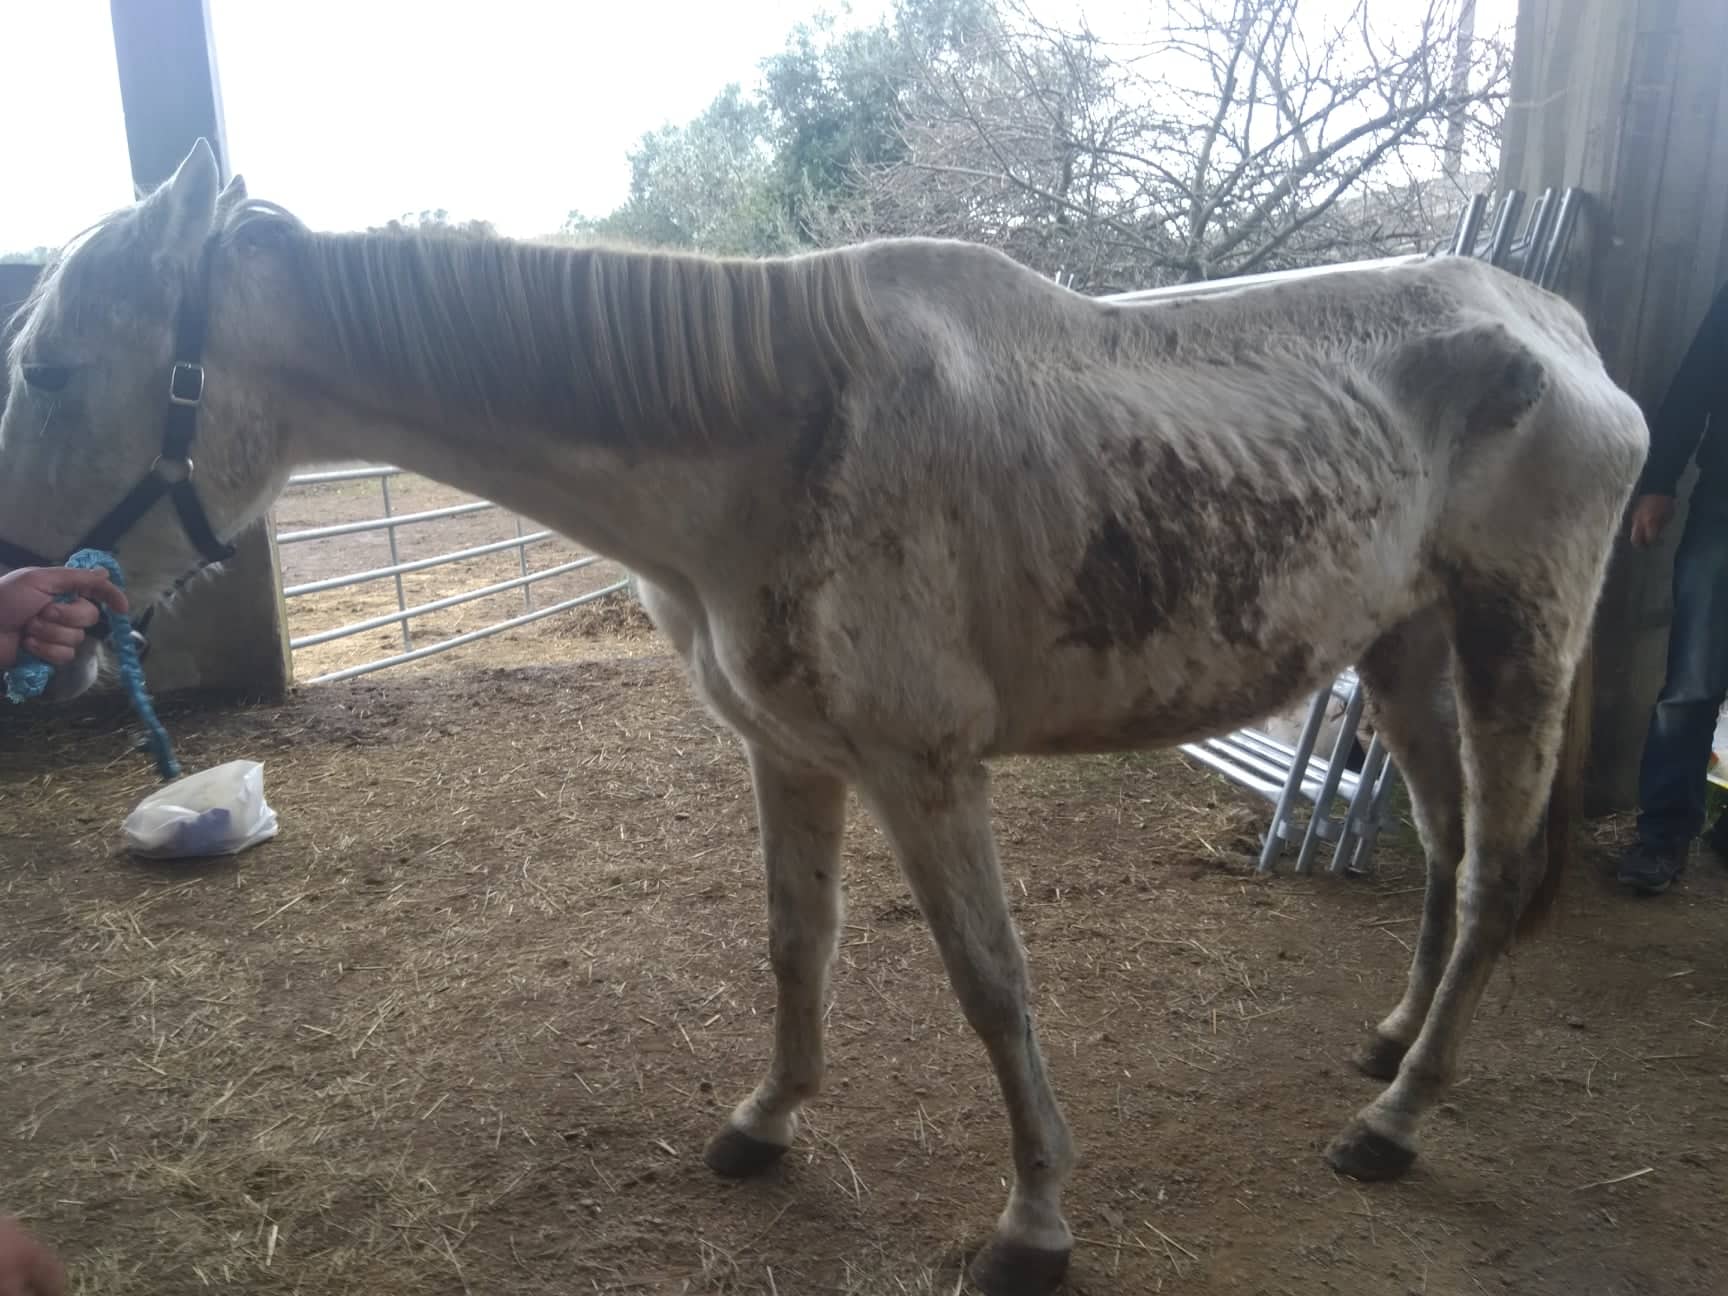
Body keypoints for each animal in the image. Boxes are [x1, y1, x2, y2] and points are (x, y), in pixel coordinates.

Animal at [0, 140, 1648, 1295]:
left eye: (51, 365)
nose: (27, 600)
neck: (779, 431)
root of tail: (1563, 332)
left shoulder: (928, 773)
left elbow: (992, 986)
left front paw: (1034, 1222)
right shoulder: (789, 754)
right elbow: (798, 943)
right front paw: (765, 1122)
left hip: (1517, 642)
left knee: (1496, 873)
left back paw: (1396, 1124)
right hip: (1407, 650)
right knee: (1447, 850)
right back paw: (1391, 1046)